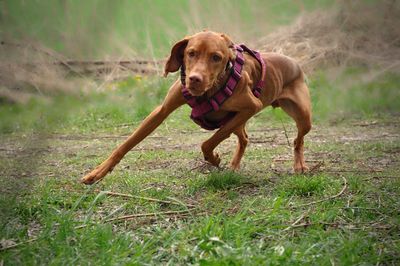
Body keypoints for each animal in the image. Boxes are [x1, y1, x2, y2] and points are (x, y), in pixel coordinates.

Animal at [82, 30, 312, 185]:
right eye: (191, 53)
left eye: (216, 57)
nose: (194, 79)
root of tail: (293, 61)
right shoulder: (161, 111)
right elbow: (127, 143)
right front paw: (97, 172)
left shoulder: (251, 106)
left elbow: (208, 142)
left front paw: (213, 158)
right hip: (236, 120)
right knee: (244, 139)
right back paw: (234, 166)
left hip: (302, 117)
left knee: (297, 140)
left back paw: (299, 165)